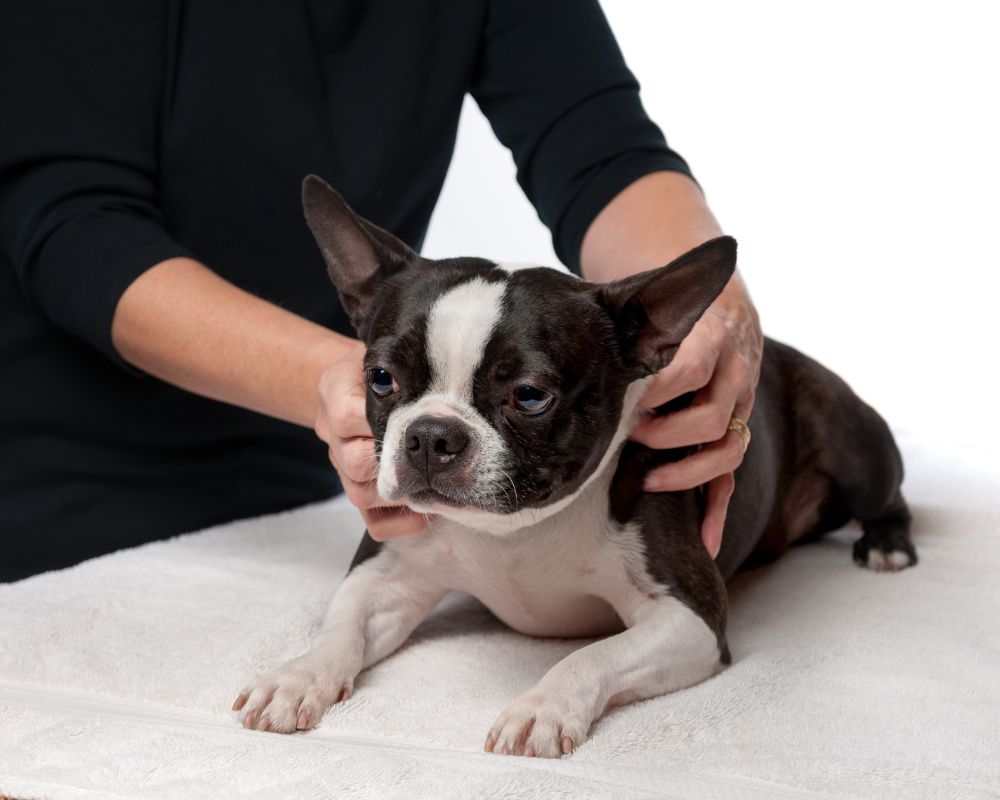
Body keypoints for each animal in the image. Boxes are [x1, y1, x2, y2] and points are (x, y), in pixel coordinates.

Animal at [232, 175, 916, 756]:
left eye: (531, 395)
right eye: (379, 378)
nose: (431, 435)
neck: (513, 531)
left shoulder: (688, 619)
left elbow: (591, 656)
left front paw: (542, 706)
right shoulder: (386, 572)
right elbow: (339, 627)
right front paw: (298, 676)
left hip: (850, 439)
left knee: (890, 494)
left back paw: (887, 544)